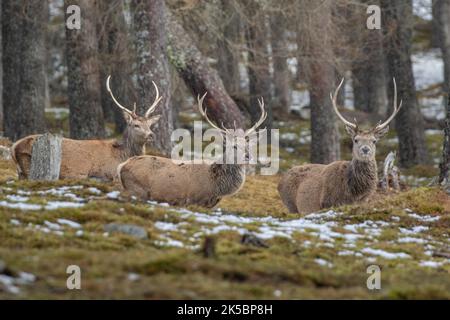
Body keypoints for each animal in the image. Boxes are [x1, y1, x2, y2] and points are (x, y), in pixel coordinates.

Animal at [11, 74, 163, 180]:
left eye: (150, 125)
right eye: (136, 125)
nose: (151, 135)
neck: (121, 155)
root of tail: (14, 147)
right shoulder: (106, 172)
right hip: (29, 164)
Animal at [117, 93, 268, 208]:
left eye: (249, 145)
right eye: (234, 146)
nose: (248, 156)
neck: (215, 186)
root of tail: (122, 166)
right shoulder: (193, 200)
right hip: (137, 189)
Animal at [280, 78, 402, 214]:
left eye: (374, 140)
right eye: (356, 140)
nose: (365, 149)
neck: (354, 193)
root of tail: (280, 182)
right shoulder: (327, 203)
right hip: (292, 206)